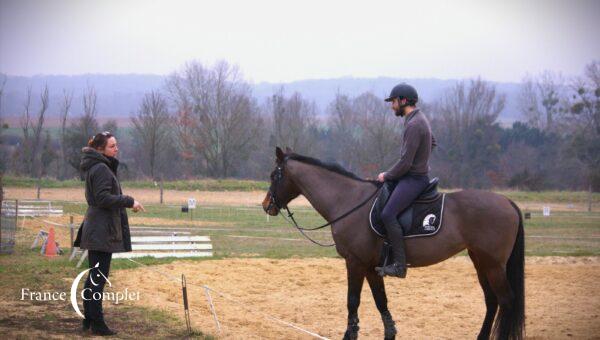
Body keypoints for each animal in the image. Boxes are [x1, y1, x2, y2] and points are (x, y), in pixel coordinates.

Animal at [260, 147, 524, 340]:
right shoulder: (371, 267)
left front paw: (350, 335)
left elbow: (352, 300)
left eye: (274, 175)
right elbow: (380, 300)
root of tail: (507, 202)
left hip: (493, 265)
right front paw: (390, 333)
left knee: (506, 301)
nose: (266, 205)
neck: (349, 201)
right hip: (480, 261)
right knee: (492, 301)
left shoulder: (355, 263)